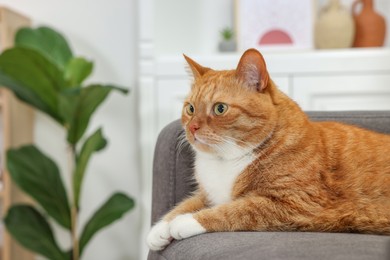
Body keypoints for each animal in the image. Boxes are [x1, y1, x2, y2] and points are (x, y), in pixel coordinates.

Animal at [146, 48, 390, 250]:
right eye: (190, 108)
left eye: (220, 108)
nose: (192, 127)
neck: (227, 159)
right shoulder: (209, 194)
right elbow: (186, 203)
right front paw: (160, 229)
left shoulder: (297, 203)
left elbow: (235, 210)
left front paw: (185, 222)